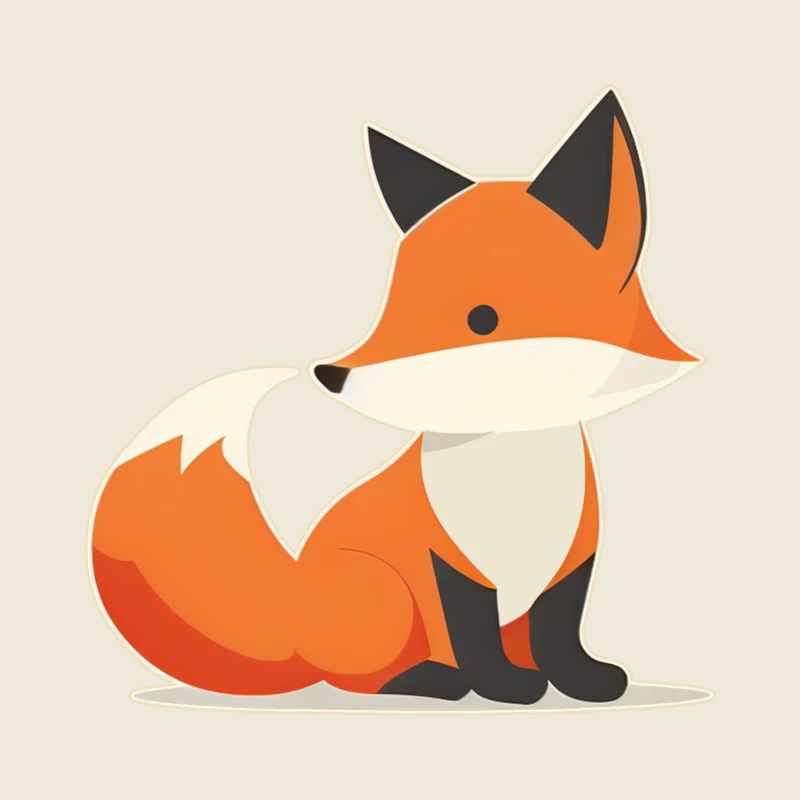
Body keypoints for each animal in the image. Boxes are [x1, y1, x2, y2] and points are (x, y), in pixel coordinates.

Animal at [91, 89, 700, 705]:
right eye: (390, 305)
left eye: (482, 319)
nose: (331, 374)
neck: (511, 473)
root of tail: (292, 616)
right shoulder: (449, 563)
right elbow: (473, 634)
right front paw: (504, 686)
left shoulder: (572, 561)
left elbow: (559, 630)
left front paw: (580, 681)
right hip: (383, 591)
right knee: (360, 678)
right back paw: (432, 680)